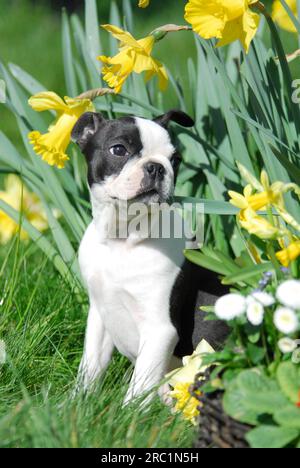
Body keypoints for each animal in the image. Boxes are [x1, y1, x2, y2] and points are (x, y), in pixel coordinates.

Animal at [72, 109, 227, 402]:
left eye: (175, 160)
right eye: (118, 149)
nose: (156, 167)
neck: (122, 241)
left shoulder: (159, 330)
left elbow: (139, 387)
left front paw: (126, 414)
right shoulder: (99, 315)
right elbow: (91, 366)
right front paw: (77, 403)